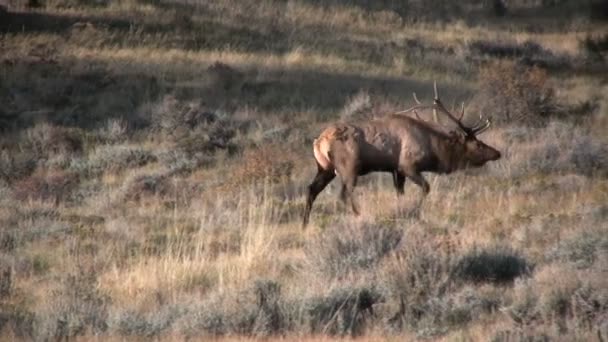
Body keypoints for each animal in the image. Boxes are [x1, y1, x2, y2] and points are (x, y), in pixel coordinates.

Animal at [302, 82, 502, 227]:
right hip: (349, 166)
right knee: (344, 194)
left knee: (312, 189)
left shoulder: (395, 170)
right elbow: (426, 188)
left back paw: (304, 225)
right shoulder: (407, 165)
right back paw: (359, 216)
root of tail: (319, 142)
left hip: (325, 167)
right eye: (478, 144)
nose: (497, 153)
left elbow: (400, 194)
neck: (432, 148)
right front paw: (416, 210)